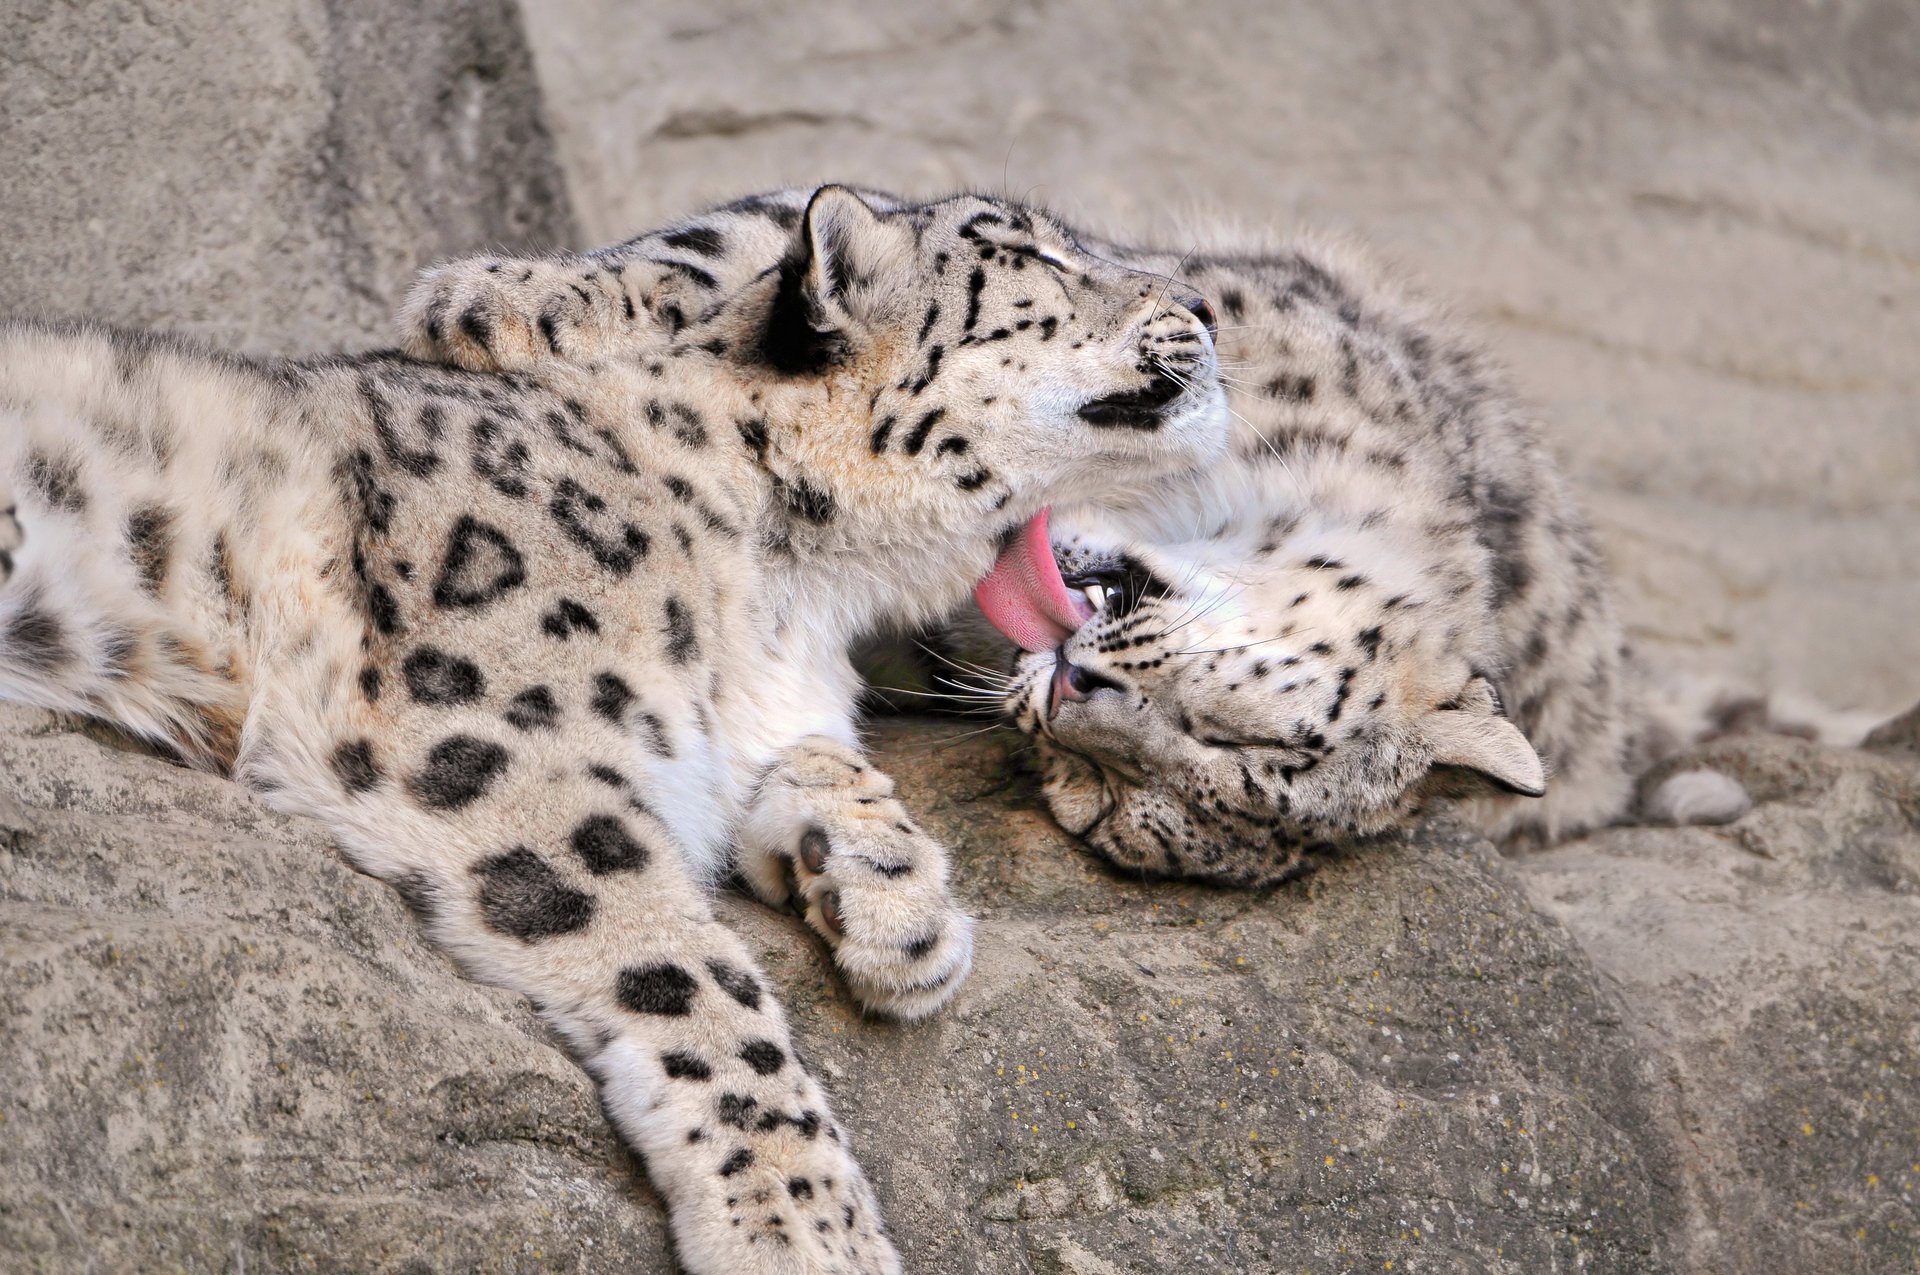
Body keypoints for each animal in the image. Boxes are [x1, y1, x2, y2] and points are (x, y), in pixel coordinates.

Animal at [0, 185, 1225, 1274]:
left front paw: (899, 907)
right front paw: (804, 1224)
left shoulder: (746, 723)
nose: (1207, 311)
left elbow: (817, 759)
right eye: (1035, 255)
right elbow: (691, 976)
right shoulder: (496, 738)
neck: (798, 598)